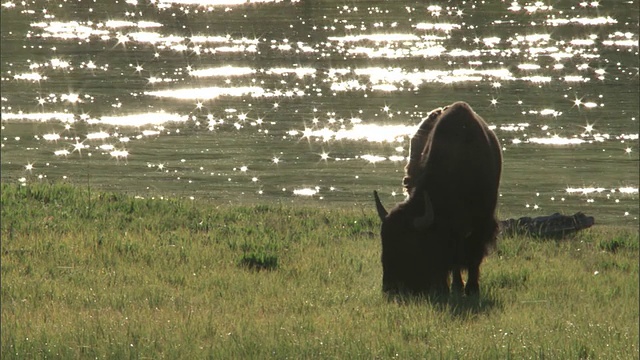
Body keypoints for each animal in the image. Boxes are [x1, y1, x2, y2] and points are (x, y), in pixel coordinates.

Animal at [372, 100, 502, 296]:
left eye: (410, 245)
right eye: (384, 241)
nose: (390, 287)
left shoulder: (482, 221)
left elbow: (474, 254)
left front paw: (472, 288)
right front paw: (454, 286)